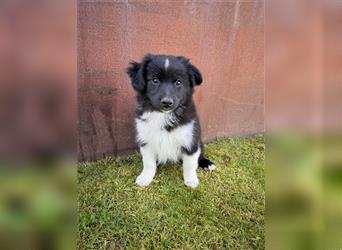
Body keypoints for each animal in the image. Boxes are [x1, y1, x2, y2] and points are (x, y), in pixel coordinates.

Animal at [127, 54, 215, 188]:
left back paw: (207, 164)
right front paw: (145, 178)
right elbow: (148, 163)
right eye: (155, 80)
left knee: (199, 156)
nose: (167, 102)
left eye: (178, 82)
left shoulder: (190, 140)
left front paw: (191, 180)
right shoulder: (146, 140)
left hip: (199, 142)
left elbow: (189, 164)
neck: (163, 115)